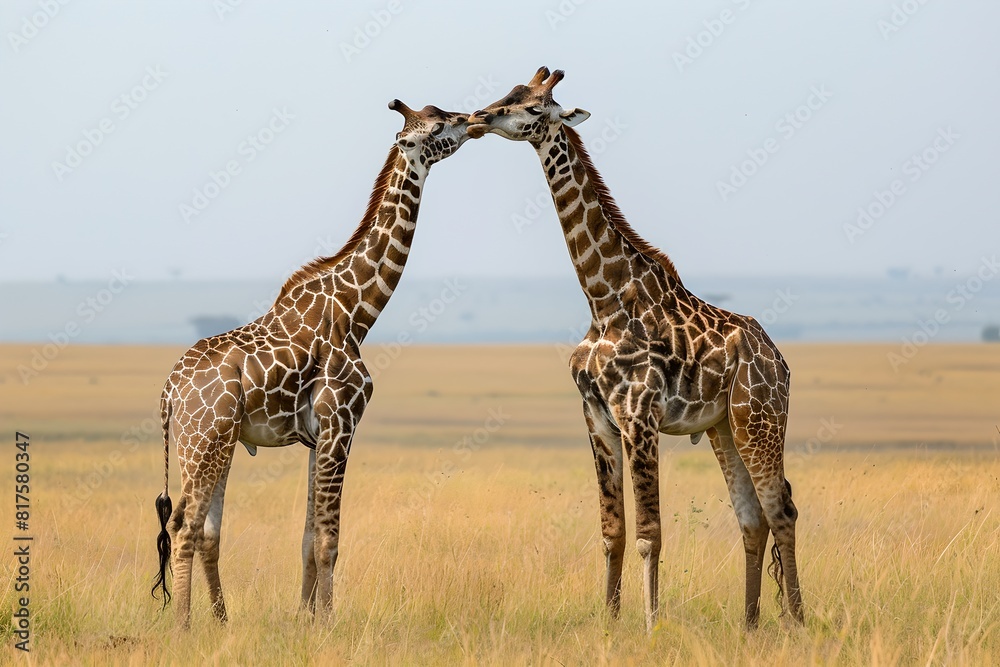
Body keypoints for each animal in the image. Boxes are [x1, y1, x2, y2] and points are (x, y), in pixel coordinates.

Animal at [151, 101, 471, 628]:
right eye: (439, 125)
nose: (476, 119)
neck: (356, 312)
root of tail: (170, 391)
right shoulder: (341, 423)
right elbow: (328, 540)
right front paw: (327, 623)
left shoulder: (315, 436)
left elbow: (305, 538)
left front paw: (303, 619)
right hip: (205, 442)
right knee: (182, 527)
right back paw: (183, 626)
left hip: (210, 444)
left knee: (206, 531)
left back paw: (222, 621)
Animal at [467, 67, 802, 632]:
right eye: (508, 93)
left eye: (534, 108)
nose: (476, 118)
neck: (603, 298)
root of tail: (779, 362)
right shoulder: (597, 418)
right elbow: (613, 531)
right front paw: (609, 620)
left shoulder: (639, 415)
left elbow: (649, 534)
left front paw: (650, 625)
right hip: (723, 428)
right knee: (752, 519)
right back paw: (750, 623)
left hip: (759, 419)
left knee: (782, 511)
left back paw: (797, 619)